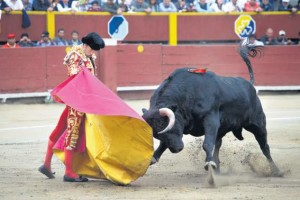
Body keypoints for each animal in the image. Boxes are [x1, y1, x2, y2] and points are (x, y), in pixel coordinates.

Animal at [142, 44, 282, 177]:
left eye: (163, 124)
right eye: (155, 134)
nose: (177, 149)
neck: (186, 94)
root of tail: (250, 85)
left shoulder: (210, 119)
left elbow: (207, 143)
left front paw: (209, 163)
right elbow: (163, 144)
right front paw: (153, 158)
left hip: (258, 124)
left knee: (264, 146)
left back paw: (276, 171)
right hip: (223, 128)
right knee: (218, 142)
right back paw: (217, 167)